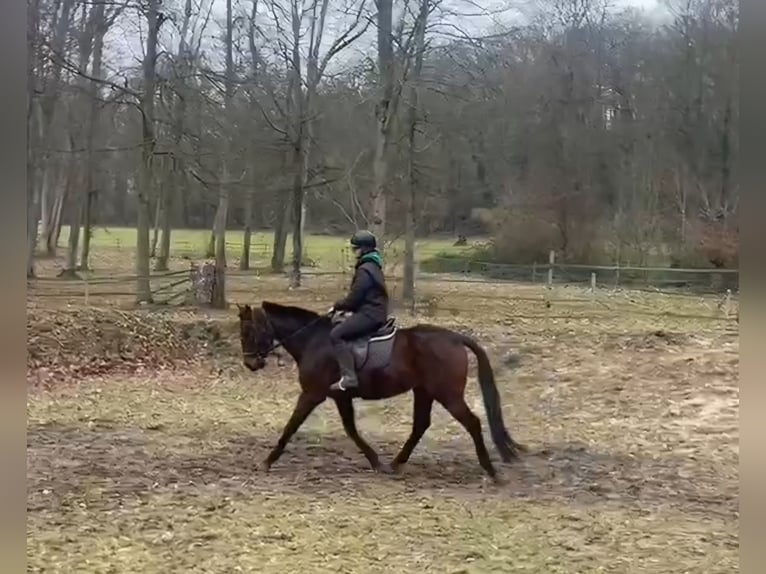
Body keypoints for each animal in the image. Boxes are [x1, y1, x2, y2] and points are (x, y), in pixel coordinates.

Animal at [240, 304, 528, 484]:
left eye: (249, 331)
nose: (250, 364)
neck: (314, 340)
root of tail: (455, 338)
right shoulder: (341, 397)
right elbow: (351, 430)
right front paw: (375, 461)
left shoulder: (312, 394)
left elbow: (291, 427)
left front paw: (267, 461)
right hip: (424, 391)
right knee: (420, 425)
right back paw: (395, 464)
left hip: (448, 395)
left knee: (472, 423)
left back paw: (491, 471)